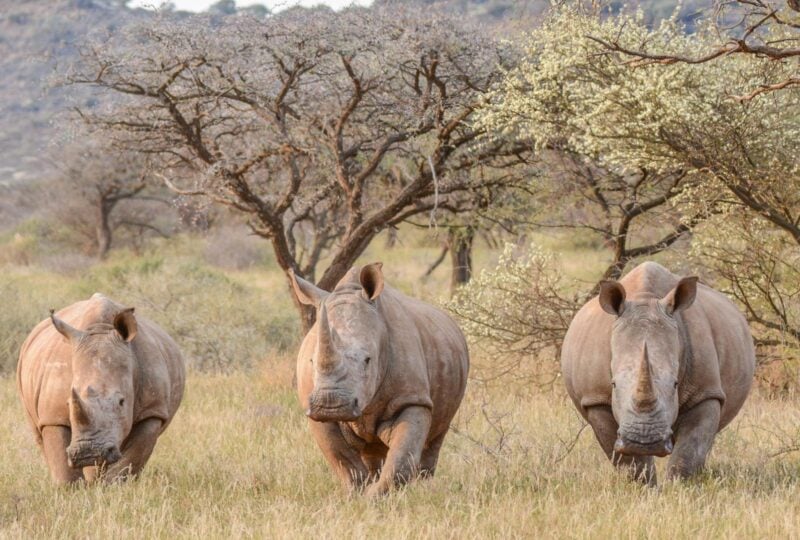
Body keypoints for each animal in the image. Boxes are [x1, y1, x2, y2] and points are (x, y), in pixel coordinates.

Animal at [16, 296, 185, 486]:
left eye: (122, 402)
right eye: (68, 403)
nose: (89, 452)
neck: (101, 329)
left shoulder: (152, 411)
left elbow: (129, 462)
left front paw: (113, 488)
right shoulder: (52, 415)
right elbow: (62, 466)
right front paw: (71, 489)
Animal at [290, 264, 468, 496]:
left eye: (368, 360)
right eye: (312, 361)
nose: (331, 405)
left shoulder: (412, 398)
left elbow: (402, 456)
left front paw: (376, 496)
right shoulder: (312, 406)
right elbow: (341, 457)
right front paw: (357, 493)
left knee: (436, 435)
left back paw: (424, 487)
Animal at [560, 262, 752, 486]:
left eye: (675, 384)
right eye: (613, 384)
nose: (644, 441)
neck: (645, 298)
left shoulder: (705, 392)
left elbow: (689, 451)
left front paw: (677, 487)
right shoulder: (595, 398)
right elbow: (630, 462)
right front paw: (645, 487)